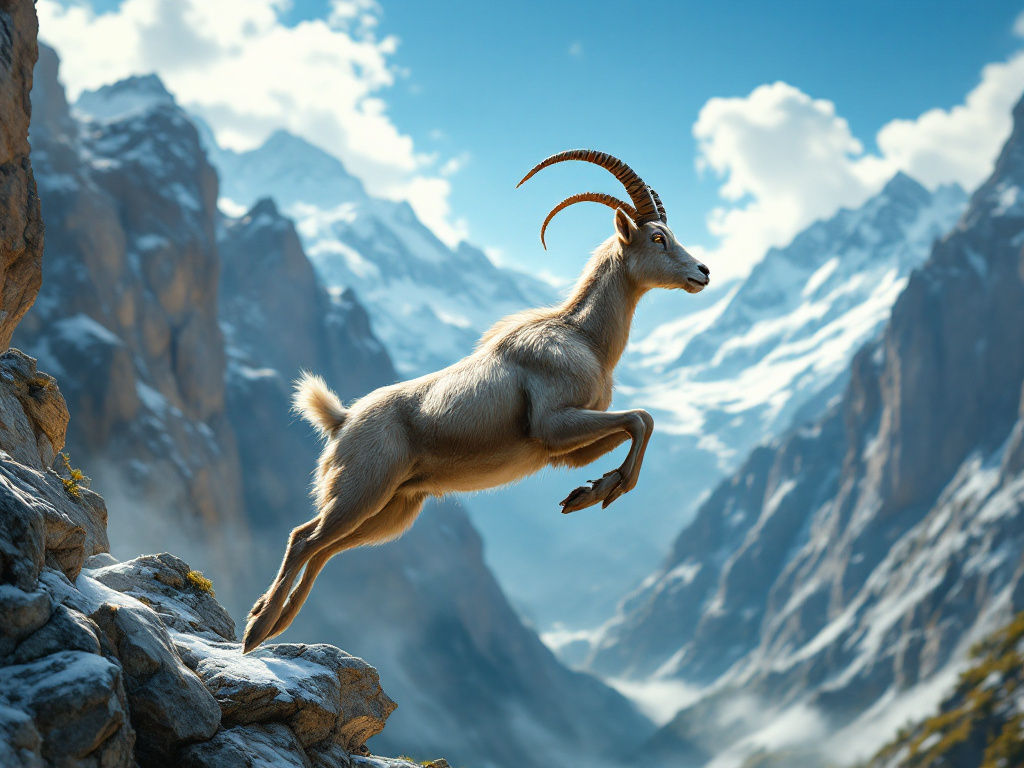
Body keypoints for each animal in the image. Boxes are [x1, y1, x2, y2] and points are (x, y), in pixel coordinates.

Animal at [243, 149, 710, 652]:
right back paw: (255, 630)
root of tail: (341, 420)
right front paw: (599, 492)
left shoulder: (564, 449)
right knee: (303, 538)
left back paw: (275, 623)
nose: (703, 272)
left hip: (392, 509)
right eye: (658, 237)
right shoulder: (553, 425)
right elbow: (641, 418)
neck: (581, 335)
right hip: (360, 490)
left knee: (322, 550)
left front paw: (587, 492)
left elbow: (640, 421)